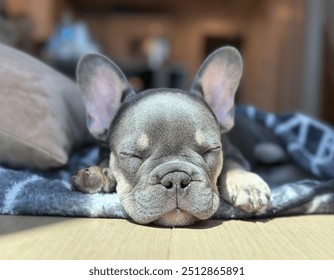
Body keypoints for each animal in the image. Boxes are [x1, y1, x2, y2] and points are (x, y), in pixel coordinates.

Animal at [72, 47, 270, 226]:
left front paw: (248, 184)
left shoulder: (231, 150)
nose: (176, 178)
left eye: (209, 150)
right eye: (132, 155)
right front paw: (98, 173)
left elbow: (232, 163)